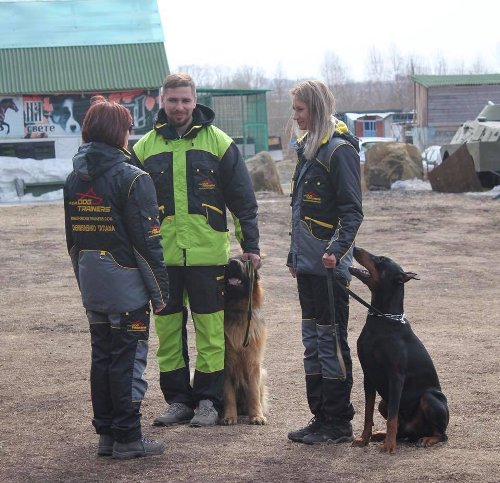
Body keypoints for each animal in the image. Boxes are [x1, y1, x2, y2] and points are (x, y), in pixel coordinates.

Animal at [221, 255, 268, 426]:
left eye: (245, 261)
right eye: (228, 260)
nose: (233, 263)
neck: (237, 310)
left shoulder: (253, 362)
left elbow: (253, 393)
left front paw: (256, 416)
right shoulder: (226, 365)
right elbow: (228, 395)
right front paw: (229, 417)